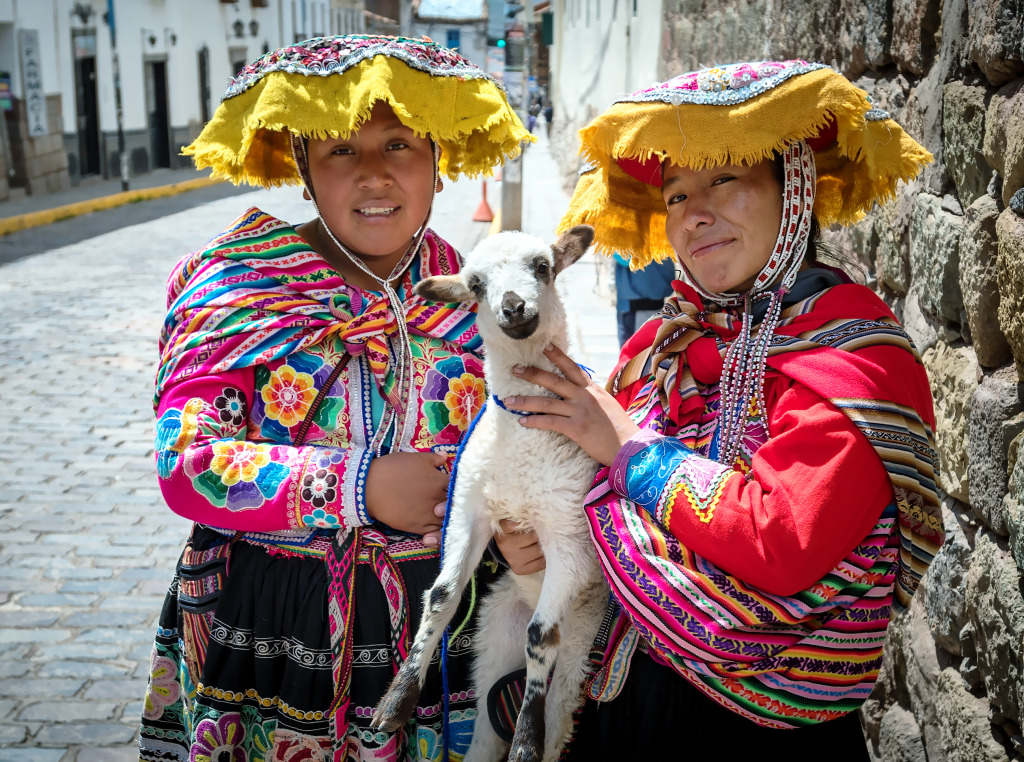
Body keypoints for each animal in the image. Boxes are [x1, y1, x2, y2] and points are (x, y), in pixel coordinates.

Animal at [370, 224, 602, 762]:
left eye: (543, 266)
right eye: (475, 285)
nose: (514, 306)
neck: (521, 440)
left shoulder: (570, 539)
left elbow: (542, 636)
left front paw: (525, 743)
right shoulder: (468, 511)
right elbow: (441, 597)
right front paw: (396, 703)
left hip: (578, 648)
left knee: (557, 704)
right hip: (493, 638)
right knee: (481, 728)